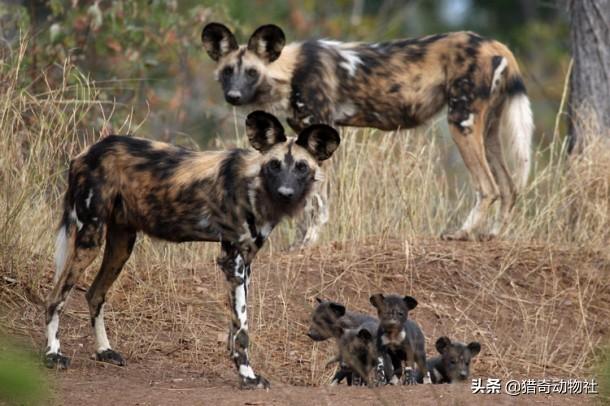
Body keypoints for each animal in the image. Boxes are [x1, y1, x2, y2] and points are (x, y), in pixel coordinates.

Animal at [42, 111, 338, 390]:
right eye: (275, 165)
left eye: (301, 167)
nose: (285, 193)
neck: (255, 186)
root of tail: (87, 152)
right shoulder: (233, 260)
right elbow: (242, 331)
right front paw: (248, 377)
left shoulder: (246, 262)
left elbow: (237, 326)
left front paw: (238, 365)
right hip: (90, 239)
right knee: (56, 297)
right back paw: (53, 355)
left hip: (121, 245)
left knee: (94, 294)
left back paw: (104, 350)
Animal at [201, 22, 532, 243]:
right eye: (227, 71)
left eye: (252, 72)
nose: (233, 96)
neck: (290, 72)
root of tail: (496, 44)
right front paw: (299, 242)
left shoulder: (321, 132)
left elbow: (318, 203)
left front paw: (308, 243)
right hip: (487, 132)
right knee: (509, 187)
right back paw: (492, 235)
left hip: (461, 123)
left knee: (488, 187)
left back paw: (461, 233)